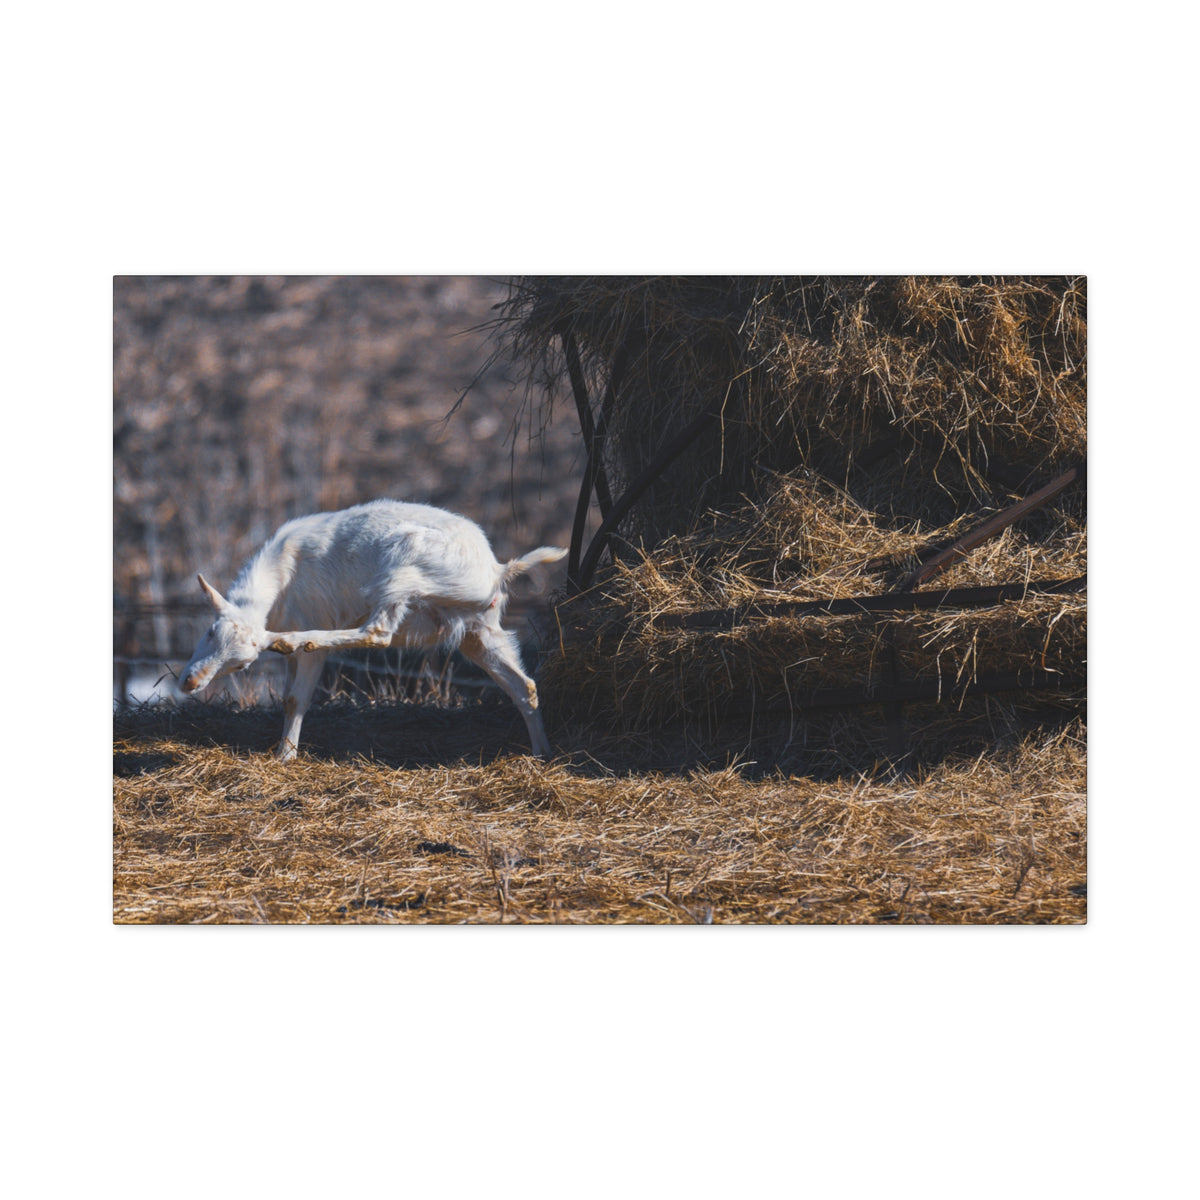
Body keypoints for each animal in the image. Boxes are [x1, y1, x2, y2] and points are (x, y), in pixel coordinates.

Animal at [179, 499, 567, 760]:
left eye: (242, 665)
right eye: (210, 632)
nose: (190, 683)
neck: (281, 574)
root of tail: (497, 569)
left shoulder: (313, 617)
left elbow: (295, 699)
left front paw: (284, 757)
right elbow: (290, 695)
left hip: (402, 570)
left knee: (377, 632)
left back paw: (292, 641)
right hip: (480, 630)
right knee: (523, 685)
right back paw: (542, 752)